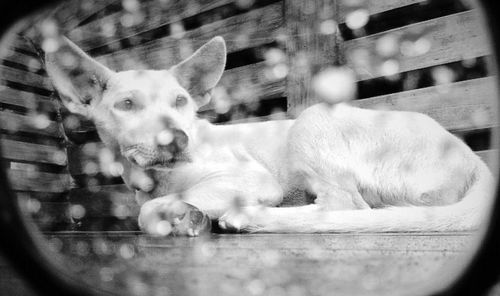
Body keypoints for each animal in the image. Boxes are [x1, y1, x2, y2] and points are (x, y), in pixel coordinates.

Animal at [45, 36, 494, 236]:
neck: (157, 178)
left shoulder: (252, 178)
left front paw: (185, 212)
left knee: (344, 206)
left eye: (180, 101)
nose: (177, 139)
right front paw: (185, 214)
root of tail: (474, 160)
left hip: (312, 121)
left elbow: (147, 213)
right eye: (126, 105)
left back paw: (248, 217)